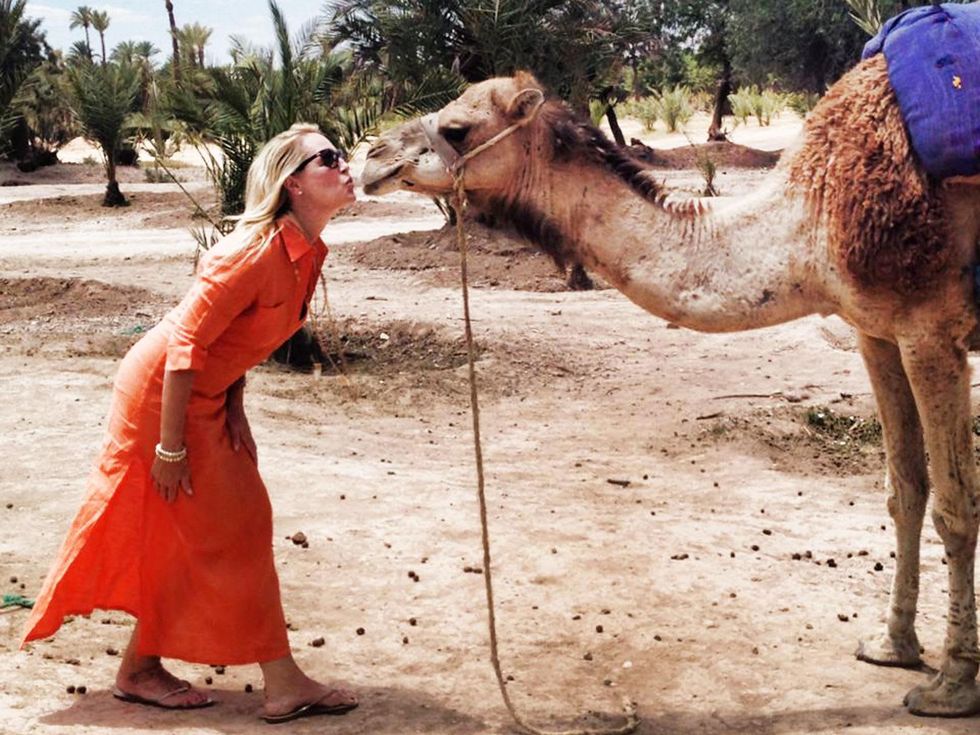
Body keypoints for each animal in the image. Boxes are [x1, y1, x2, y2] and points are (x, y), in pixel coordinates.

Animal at [360, 54, 980, 717]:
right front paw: (891, 646)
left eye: (457, 128)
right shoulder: (875, 331)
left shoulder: (929, 330)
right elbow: (904, 492)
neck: (808, 222)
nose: (371, 157)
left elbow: (955, 508)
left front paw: (951, 685)